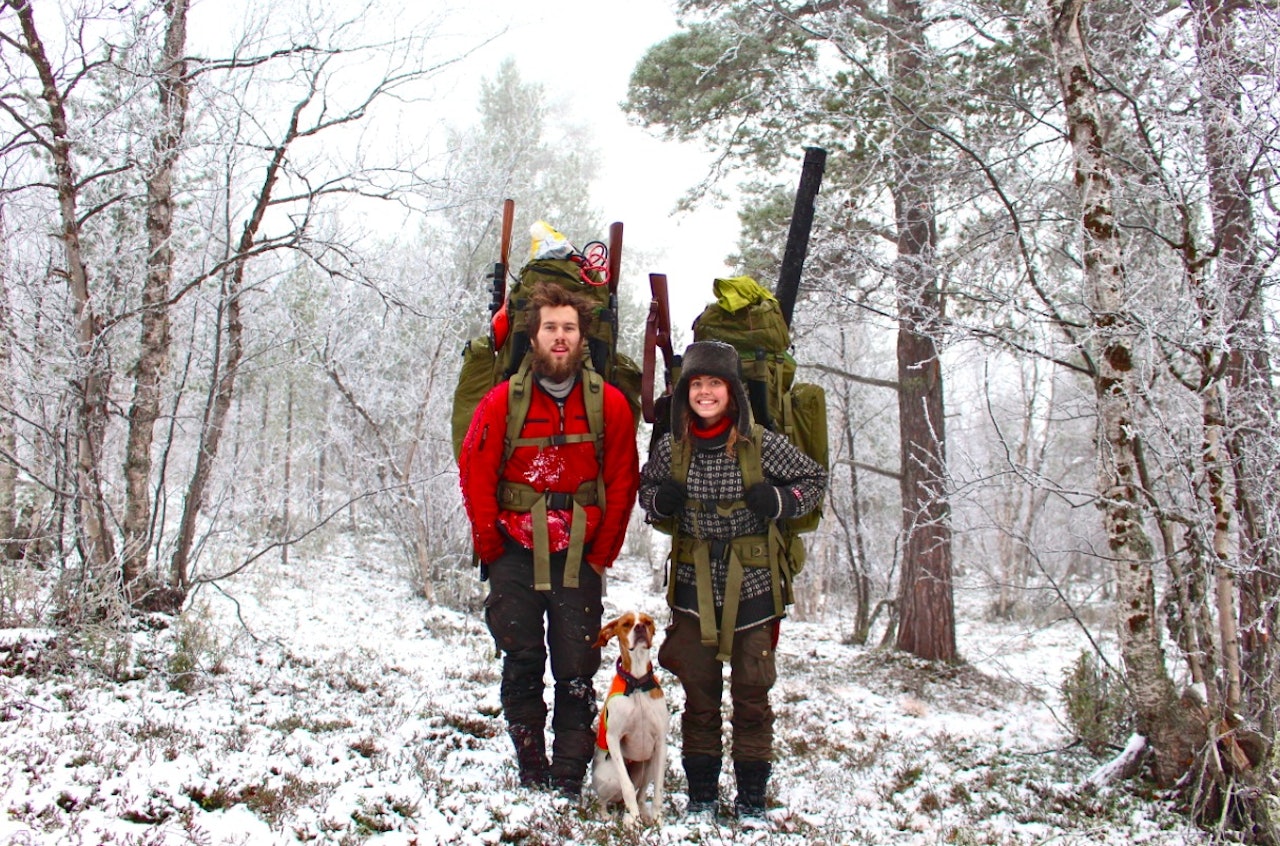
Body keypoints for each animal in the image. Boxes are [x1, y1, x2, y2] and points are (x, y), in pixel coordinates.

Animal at [588, 609, 670, 819]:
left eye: (647, 622)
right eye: (626, 624)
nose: (639, 627)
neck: (637, 682)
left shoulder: (660, 741)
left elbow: (658, 790)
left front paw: (657, 820)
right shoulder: (614, 737)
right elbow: (627, 787)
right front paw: (633, 820)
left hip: (647, 765)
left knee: (641, 794)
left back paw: (645, 815)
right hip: (608, 778)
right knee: (603, 800)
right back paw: (607, 816)